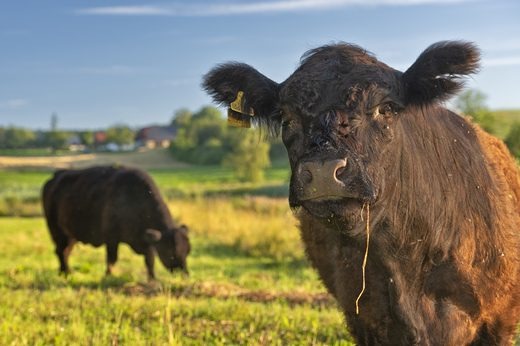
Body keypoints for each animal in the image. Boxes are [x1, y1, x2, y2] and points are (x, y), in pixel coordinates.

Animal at [41, 166, 191, 282]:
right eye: (171, 253)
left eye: (188, 251)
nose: (185, 274)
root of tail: (55, 177)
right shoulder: (111, 239)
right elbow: (112, 259)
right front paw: (108, 276)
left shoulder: (145, 241)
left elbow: (150, 259)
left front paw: (152, 279)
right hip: (57, 231)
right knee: (61, 251)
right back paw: (66, 273)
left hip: (71, 235)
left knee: (65, 251)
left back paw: (65, 272)